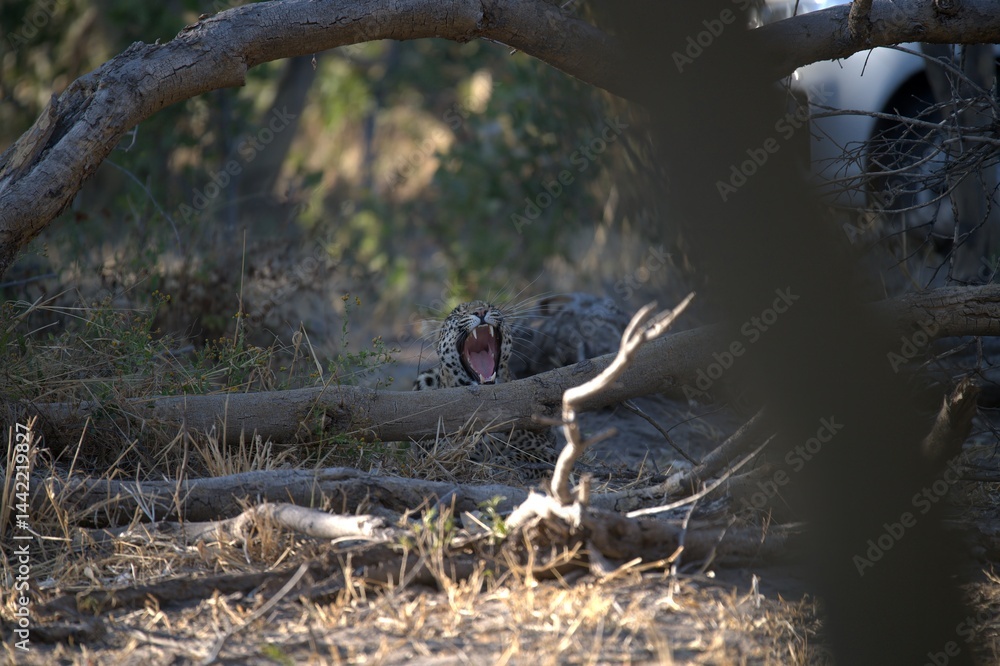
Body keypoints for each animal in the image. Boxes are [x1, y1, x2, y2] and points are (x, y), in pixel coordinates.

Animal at [413, 300, 558, 481]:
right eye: (458, 313)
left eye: (490, 306)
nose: (481, 311)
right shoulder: (434, 456)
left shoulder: (548, 449)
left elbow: (524, 456)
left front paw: (500, 465)